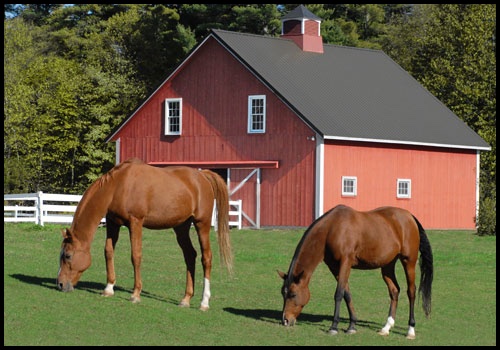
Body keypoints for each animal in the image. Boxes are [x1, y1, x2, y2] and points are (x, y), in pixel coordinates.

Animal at [57, 157, 234, 310]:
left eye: (68, 255)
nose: (60, 284)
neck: (118, 186)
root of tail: (202, 176)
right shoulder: (113, 223)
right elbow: (108, 252)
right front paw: (109, 288)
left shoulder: (136, 222)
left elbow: (136, 256)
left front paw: (135, 294)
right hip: (181, 227)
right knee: (190, 255)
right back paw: (186, 299)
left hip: (201, 224)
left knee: (206, 258)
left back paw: (204, 302)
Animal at [278, 205, 434, 340]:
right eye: (283, 294)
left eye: (293, 294)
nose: (285, 320)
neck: (332, 229)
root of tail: (409, 216)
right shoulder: (335, 267)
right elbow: (347, 294)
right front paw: (352, 326)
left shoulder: (345, 263)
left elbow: (339, 293)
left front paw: (334, 327)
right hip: (387, 265)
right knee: (394, 291)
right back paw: (386, 328)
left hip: (409, 261)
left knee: (411, 292)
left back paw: (410, 330)